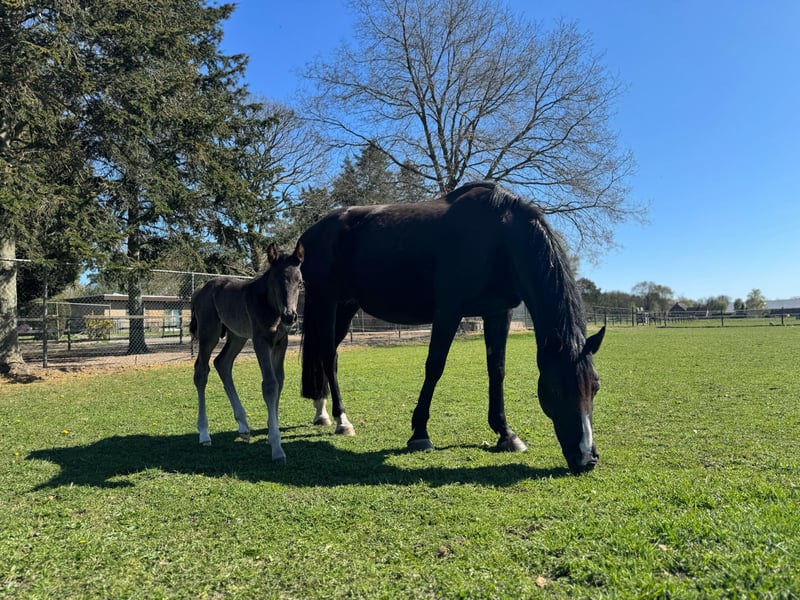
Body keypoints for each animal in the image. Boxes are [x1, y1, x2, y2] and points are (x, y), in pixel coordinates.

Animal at [189, 242, 304, 463]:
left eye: (300, 282)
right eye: (276, 280)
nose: (290, 316)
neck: (270, 305)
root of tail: (199, 292)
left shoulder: (281, 342)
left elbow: (280, 380)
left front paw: (271, 431)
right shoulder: (260, 340)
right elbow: (270, 384)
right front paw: (277, 447)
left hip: (237, 336)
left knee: (222, 363)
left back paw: (243, 427)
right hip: (209, 334)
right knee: (201, 371)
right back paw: (204, 433)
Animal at [298, 181, 605, 474]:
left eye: (596, 386)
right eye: (556, 389)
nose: (587, 458)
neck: (499, 237)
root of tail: (311, 234)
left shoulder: (498, 313)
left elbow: (497, 370)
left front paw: (505, 433)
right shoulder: (448, 310)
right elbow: (435, 366)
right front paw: (420, 434)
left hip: (346, 306)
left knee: (328, 356)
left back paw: (321, 412)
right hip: (325, 302)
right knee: (327, 355)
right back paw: (342, 419)